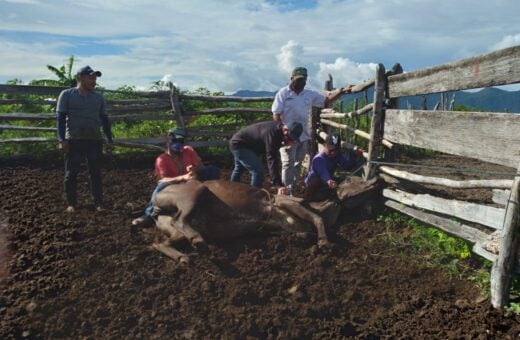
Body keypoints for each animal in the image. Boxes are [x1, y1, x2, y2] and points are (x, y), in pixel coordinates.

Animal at [148, 178, 380, 262]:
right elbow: (316, 219)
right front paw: (324, 242)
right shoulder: (286, 202)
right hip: (194, 191)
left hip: (174, 230)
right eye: (353, 180)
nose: (376, 180)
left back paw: (182, 256)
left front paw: (303, 238)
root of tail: (156, 203)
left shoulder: (278, 227)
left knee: (160, 242)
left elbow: (303, 231)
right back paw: (198, 242)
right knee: (181, 220)